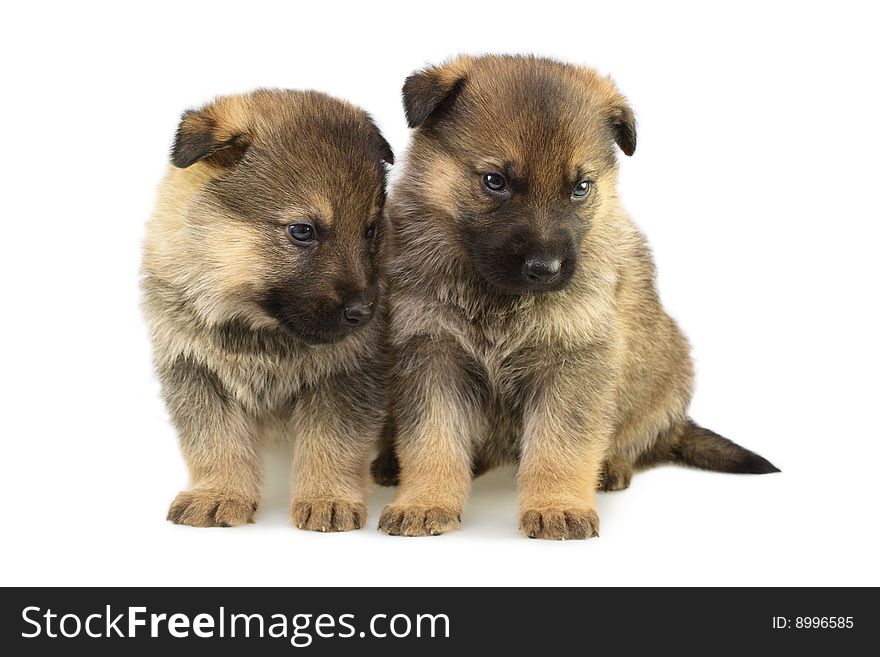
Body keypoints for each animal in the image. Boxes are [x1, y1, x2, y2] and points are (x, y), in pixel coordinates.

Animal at [140, 89, 392, 528]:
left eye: (370, 230)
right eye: (302, 231)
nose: (363, 312)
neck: (257, 327)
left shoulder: (348, 375)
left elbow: (333, 441)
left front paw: (327, 498)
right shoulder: (197, 372)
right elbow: (215, 441)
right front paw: (219, 493)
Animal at [372, 56, 776, 540]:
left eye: (580, 187)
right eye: (495, 181)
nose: (545, 269)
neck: (497, 297)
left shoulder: (572, 363)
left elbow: (561, 445)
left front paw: (557, 506)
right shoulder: (433, 357)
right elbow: (432, 442)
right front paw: (425, 501)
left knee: (636, 442)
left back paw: (611, 466)